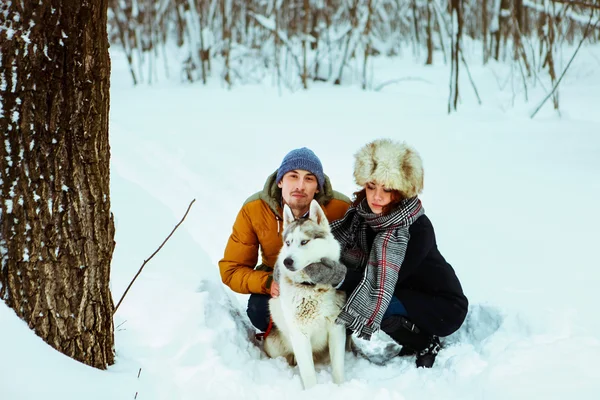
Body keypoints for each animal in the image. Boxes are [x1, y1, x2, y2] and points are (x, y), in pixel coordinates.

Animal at [264, 199, 346, 388]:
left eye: (304, 242)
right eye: (288, 243)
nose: (287, 261)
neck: (310, 287)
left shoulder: (337, 329)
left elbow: (338, 369)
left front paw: (341, 388)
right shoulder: (300, 335)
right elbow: (308, 375)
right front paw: (313, 391)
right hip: (273, 343)